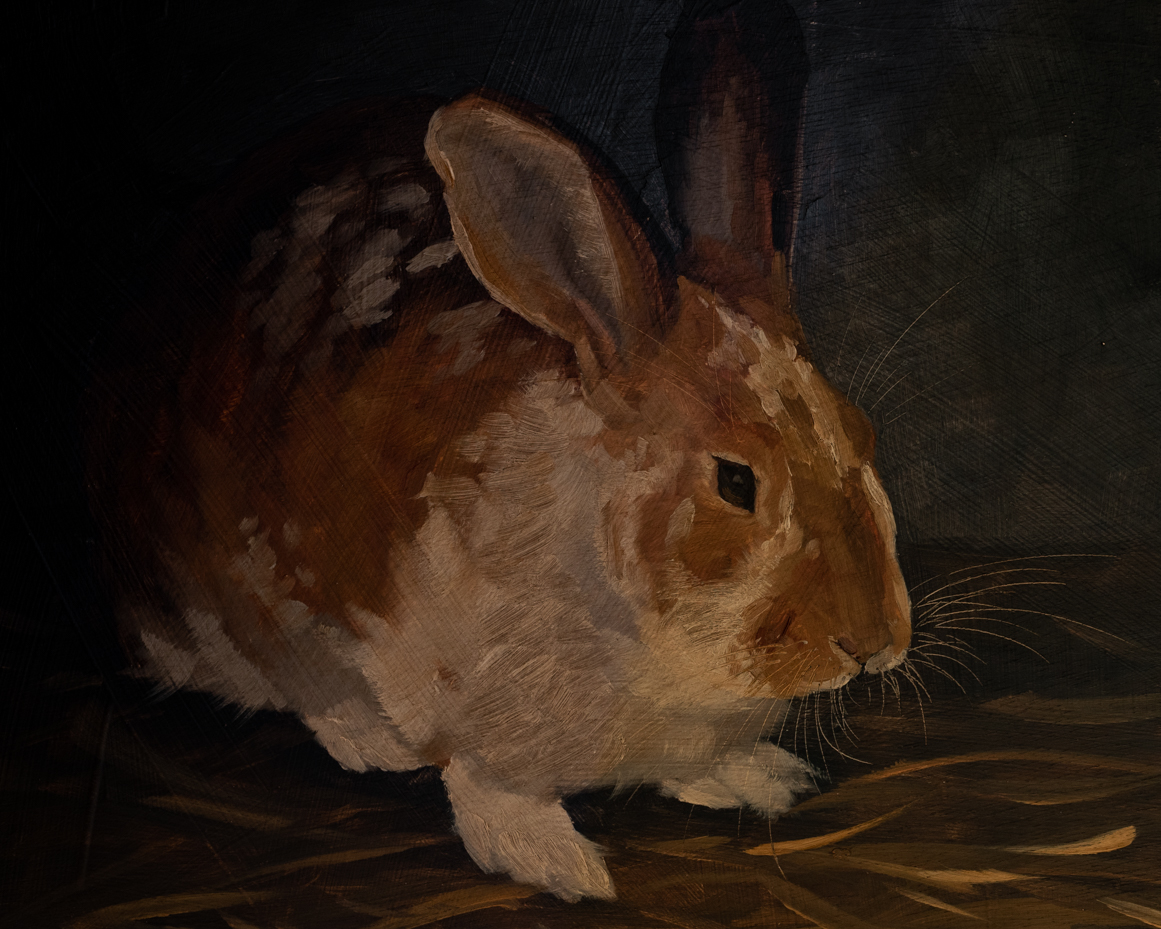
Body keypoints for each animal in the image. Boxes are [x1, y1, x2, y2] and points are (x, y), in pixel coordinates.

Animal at [87, 0, 911, 902]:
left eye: (861, 434)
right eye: (735, 480)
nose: (873, 644)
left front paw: (757, 776)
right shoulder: (448, 689)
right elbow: (486, 784)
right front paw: (556, 861)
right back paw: (367, 739)